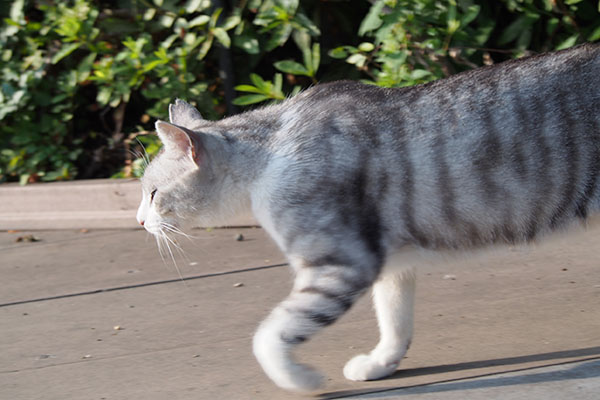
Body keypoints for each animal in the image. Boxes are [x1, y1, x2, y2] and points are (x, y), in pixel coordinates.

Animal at [136, 42, 600, 392]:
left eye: (153, 194)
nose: (140, 221)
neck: (268, 153)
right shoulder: (391, 263)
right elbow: (394, 320)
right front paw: (381, 363)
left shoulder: (342, 264)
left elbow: (269, 337)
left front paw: (302, 379)